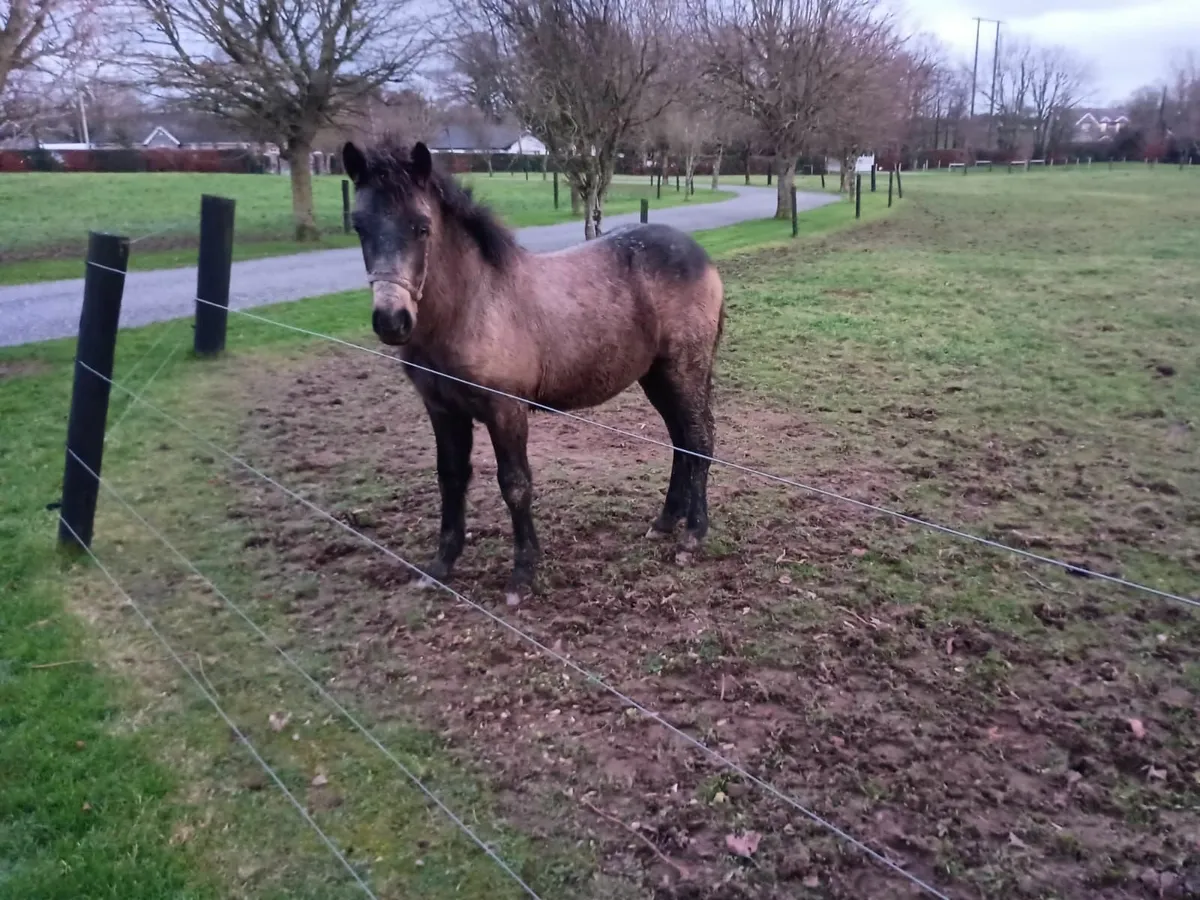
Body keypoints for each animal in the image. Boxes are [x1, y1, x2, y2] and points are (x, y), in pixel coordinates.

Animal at [341, 138, 725, 604]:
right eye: (359, 226)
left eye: (421, 227)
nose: (392, 320)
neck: (474, 305)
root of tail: (702, 258)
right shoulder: (443, 410)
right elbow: (451, 478)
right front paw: (440, 566)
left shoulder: (506, 410)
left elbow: (515, 484)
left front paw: (522, 574)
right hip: (656, 376)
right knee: (681, 441)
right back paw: (666, 522)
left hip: (684, 369)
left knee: (699, 440)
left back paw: (693, 534)